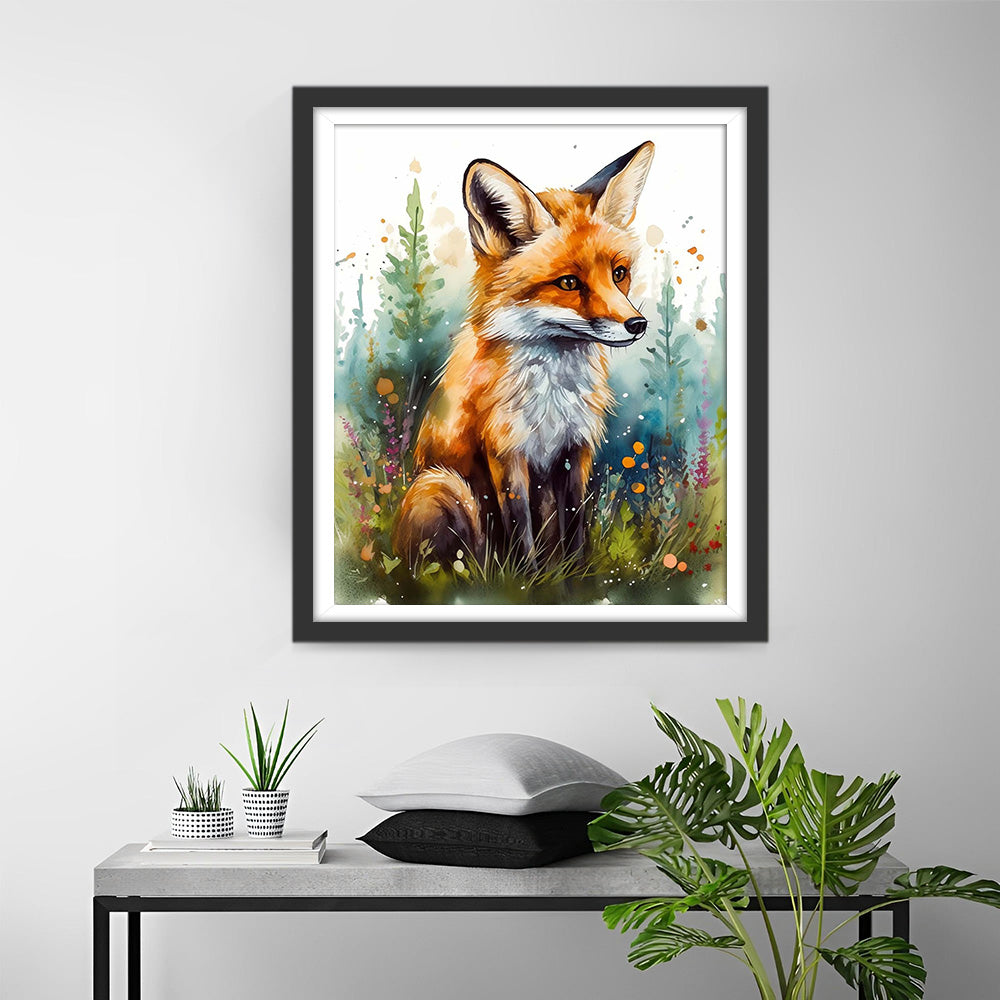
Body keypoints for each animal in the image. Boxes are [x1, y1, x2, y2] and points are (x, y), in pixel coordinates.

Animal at [392, 141, 655, 572]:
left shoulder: (575, 449)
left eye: (619, 274)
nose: (638, 324)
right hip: (443, 485)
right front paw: (526, 580)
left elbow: (575, 524)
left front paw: (575, 575)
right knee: (452, 564)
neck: (552, 394)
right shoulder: (506, 451)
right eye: (569, 283)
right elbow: (520, 529)